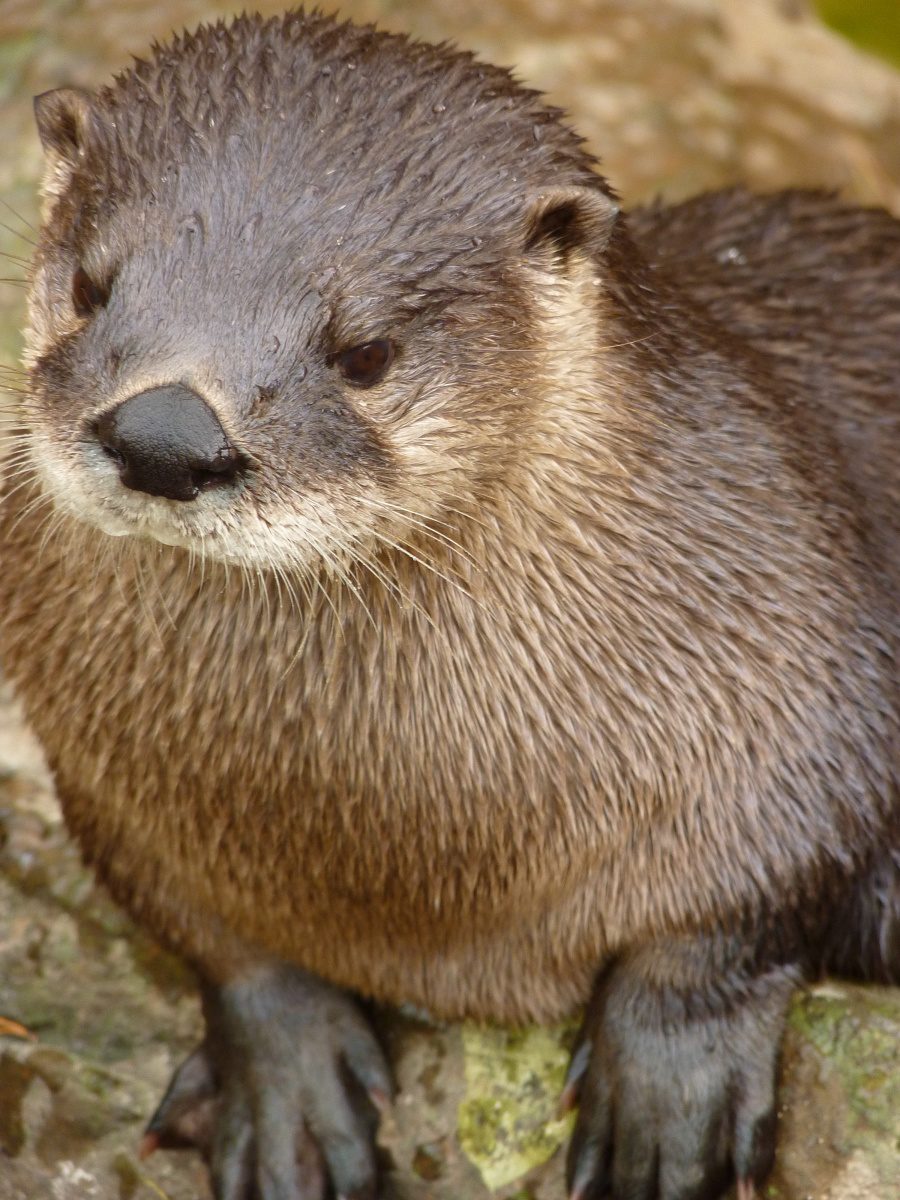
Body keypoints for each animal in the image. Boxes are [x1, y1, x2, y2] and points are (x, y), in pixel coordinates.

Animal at [0, 9, 897, 1200]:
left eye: (365, 352)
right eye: (92, 289)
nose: (165, 436)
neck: (416, 861)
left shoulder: (819, 688)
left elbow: (752, 898)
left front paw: (668, 1094)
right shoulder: (108, 786)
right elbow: (217, 937)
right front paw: (284, 1079)